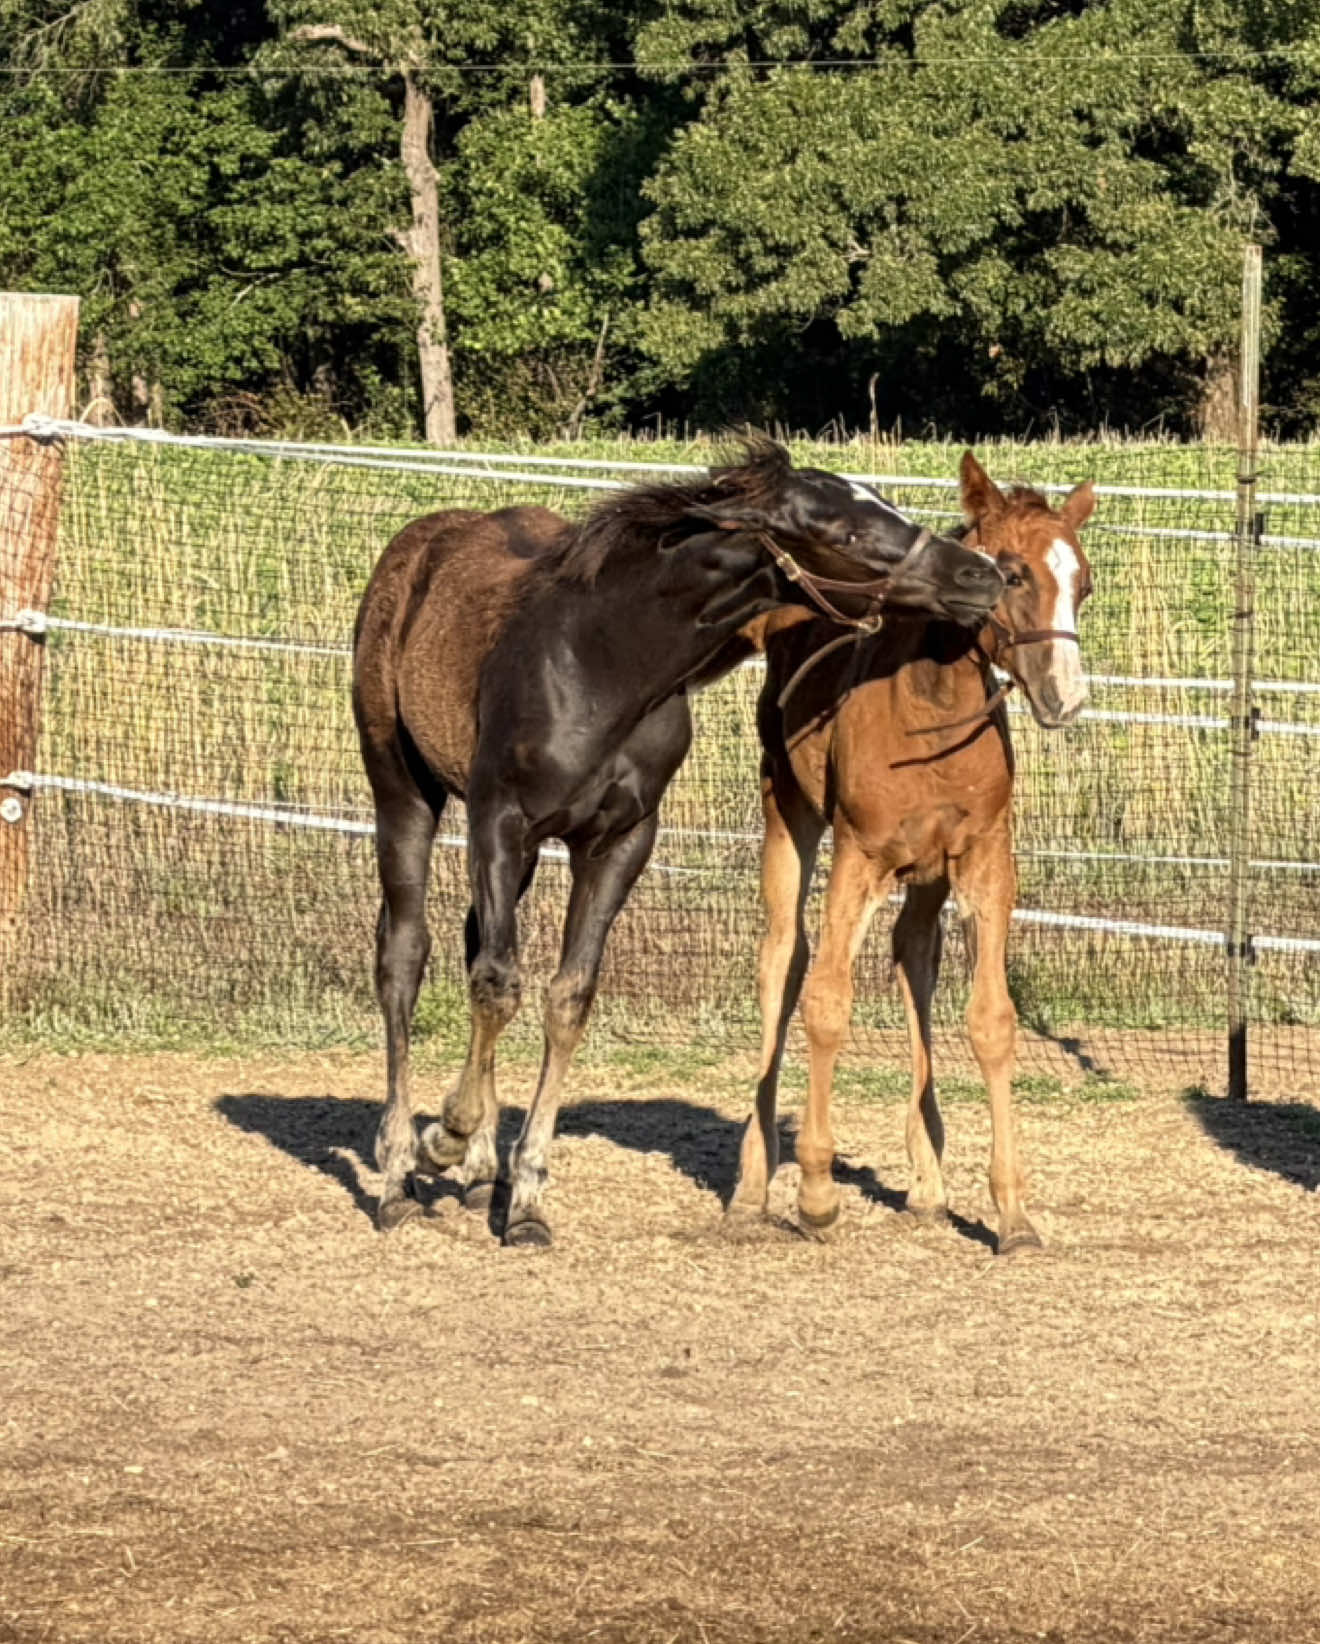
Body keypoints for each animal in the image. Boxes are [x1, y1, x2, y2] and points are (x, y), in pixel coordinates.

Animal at [352, 438, 1006, 1245]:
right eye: (844, 532)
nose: (979, 575)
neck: (602, 662)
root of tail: (414, 547)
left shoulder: (620, 841)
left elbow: (567, 996)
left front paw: (525, 1196)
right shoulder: (498, 821)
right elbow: (498, 984)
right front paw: (445, 1133)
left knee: (471, 943)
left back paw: (478, 1178)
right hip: (403, 789)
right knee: (404, 956)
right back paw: (398, 1179)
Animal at [727, 450, 1096, 1254]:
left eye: (1083, 582)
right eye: (1013, 574)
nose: (1065, 698)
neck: (929, 710)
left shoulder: (986, 860)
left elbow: (991, 1021)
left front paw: (1012, 1213)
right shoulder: (859, 855)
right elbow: (826, 1003)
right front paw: (816, 1194)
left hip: (928, 874)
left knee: (912, 954)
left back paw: (927, 1181)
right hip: (789, 813)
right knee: (782, 960)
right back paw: (751, 1183)